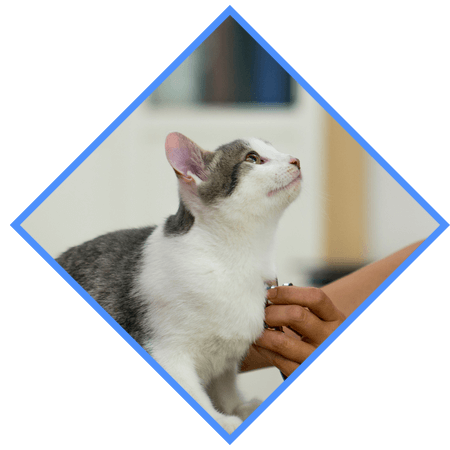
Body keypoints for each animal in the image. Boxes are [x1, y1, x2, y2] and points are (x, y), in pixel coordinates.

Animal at [57, 132, 302, 434]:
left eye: (275, 150)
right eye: (253, 159)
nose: (296, 160)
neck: (235, 262)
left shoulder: (225, 359)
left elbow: (225, 384)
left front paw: (236, 407)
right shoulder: (166, 351)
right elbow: (192, 391)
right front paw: (221, 419)